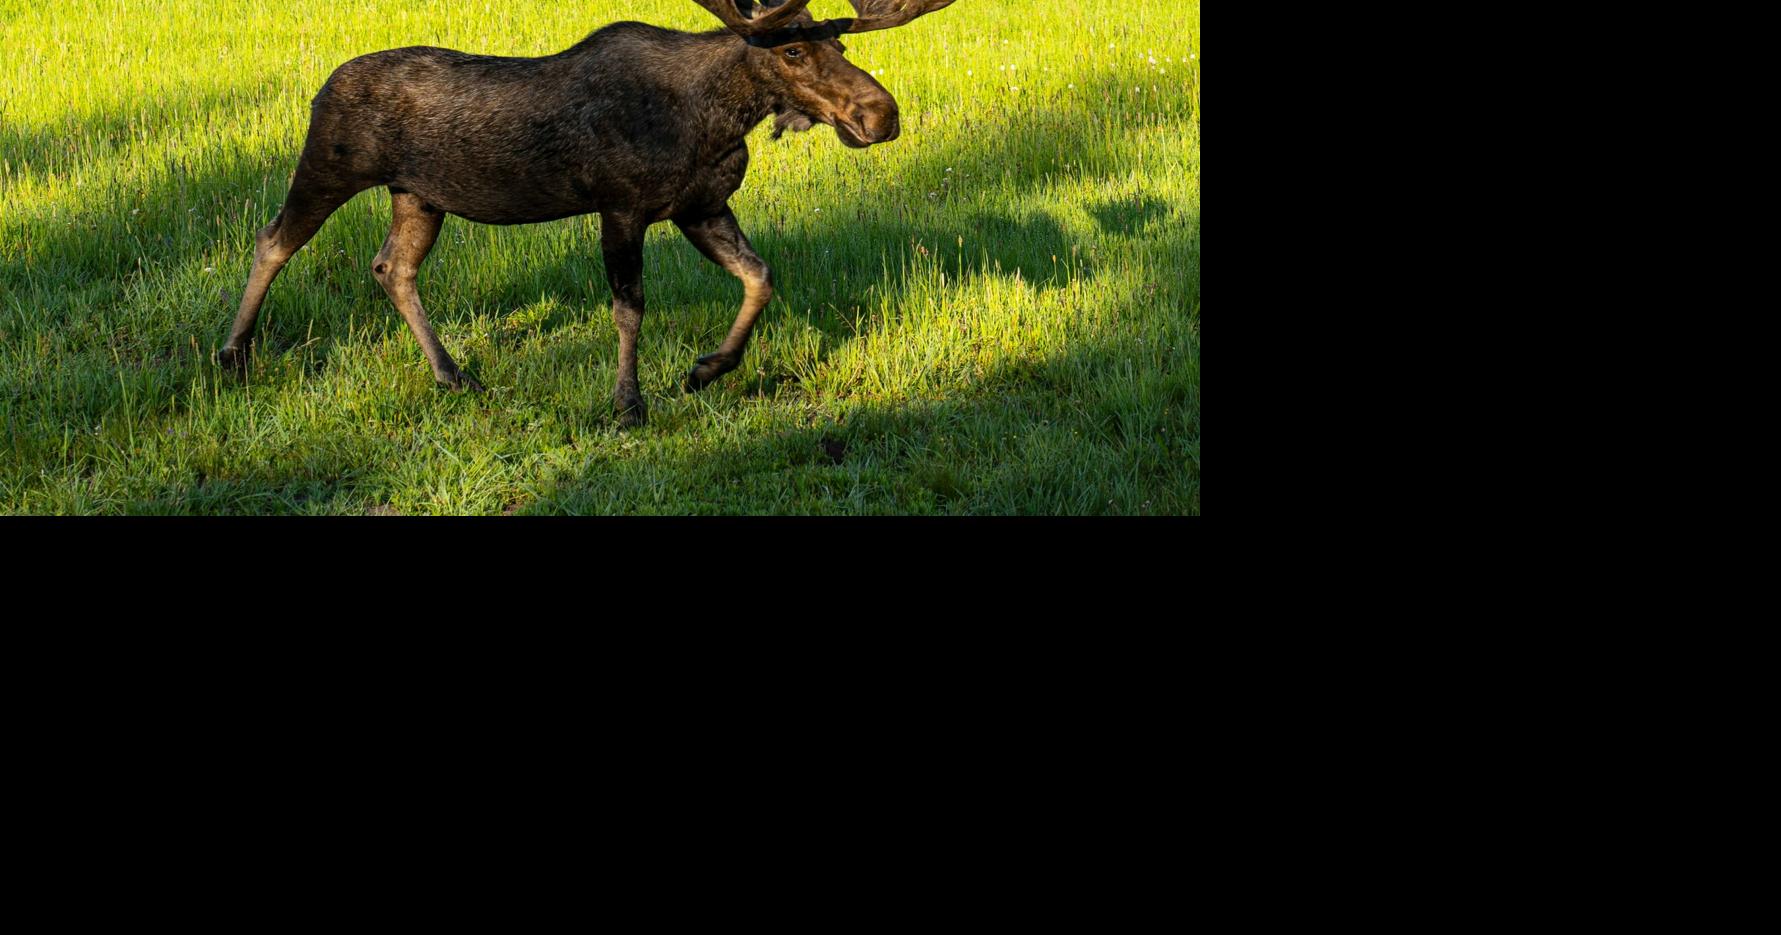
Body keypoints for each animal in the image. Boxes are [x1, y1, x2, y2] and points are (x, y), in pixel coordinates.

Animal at [216, 0, 958, 426]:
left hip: (419, 194)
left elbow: (761, 277)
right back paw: (233, 353)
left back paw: (454, 375)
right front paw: (629, 402)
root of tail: (322, 86)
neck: (714, 119)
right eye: (794, 50)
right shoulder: (621, 205)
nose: (882, 114)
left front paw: (706, 369)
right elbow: (629, 306)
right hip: (330, 163)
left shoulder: (701, 205)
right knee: (273, 238)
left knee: (391, 266)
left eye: (844, 47)